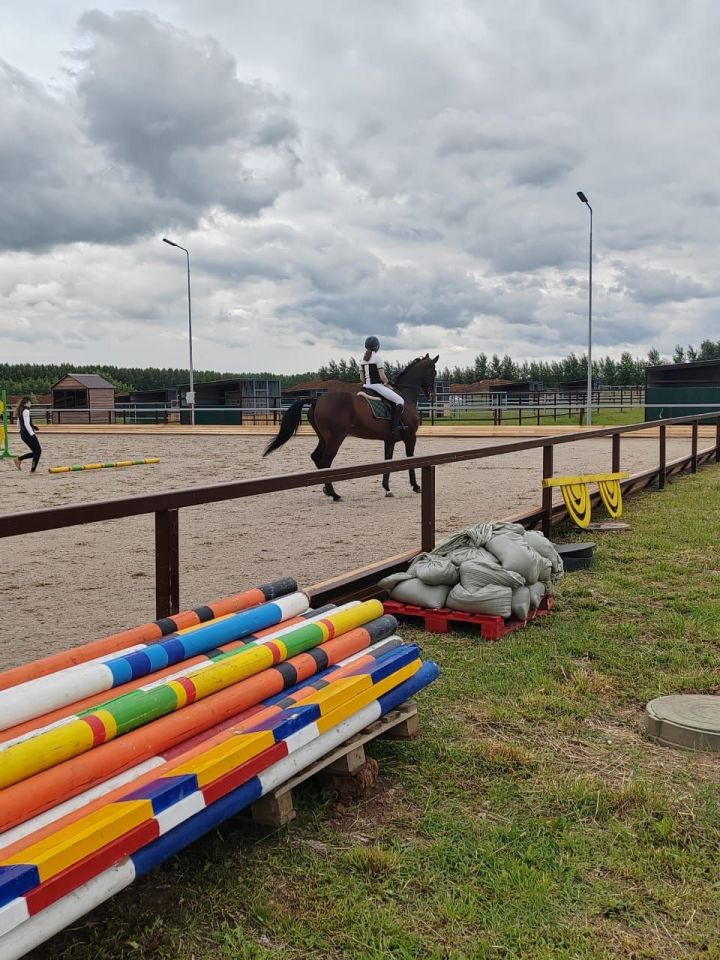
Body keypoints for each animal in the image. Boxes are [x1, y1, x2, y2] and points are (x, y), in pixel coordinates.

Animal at [264, 352, 438, 502]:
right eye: (434, 372)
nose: (432, 395)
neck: (405, 396)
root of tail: (317, 399)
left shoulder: (389, 440)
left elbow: (387, 461)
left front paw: (387, 489)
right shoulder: (410, 437)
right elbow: (411, 460)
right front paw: (416, 486)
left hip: (324, 438)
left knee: (317, 458)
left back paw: (327, 490)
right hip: (335, 438)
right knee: (326, 460)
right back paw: (334, 494)